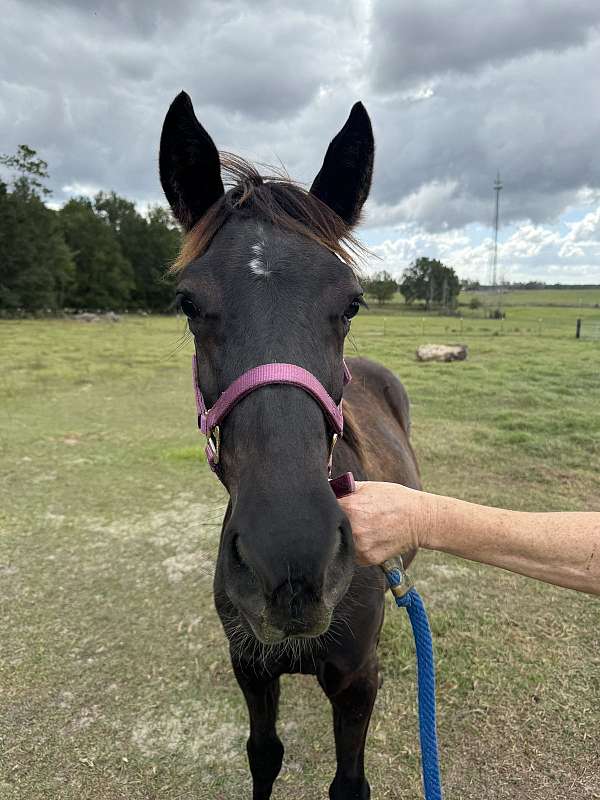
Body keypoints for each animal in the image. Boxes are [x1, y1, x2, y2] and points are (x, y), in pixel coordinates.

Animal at [159, 92, 422, 800]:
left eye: (352, 302)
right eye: (187, 303)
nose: (291, 562)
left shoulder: (357, 682)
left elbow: (349, 784)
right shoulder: (250, 667)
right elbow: (264, 754)